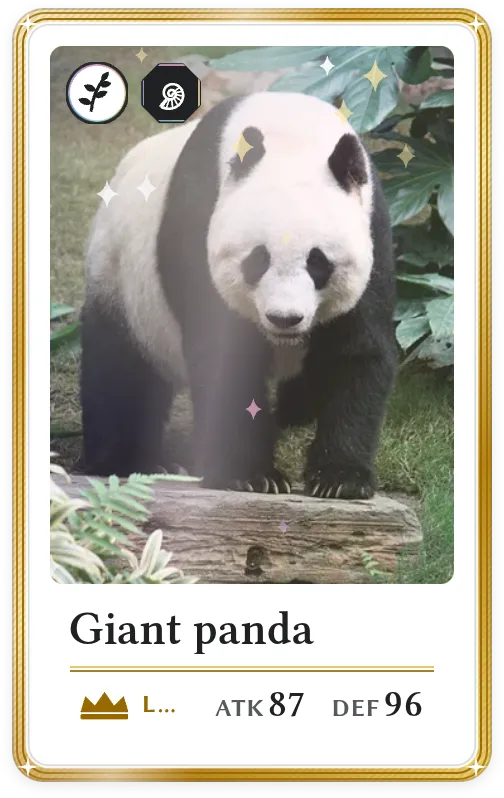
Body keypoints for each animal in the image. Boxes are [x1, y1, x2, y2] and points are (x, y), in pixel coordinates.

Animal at [81, 91, 396, 499]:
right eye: (258, 260)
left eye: (318, 263)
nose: (284, 318)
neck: (293, 136)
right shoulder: (198, 217)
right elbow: (225, 357)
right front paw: (250, 475)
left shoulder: (374, 230)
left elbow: (356, 351)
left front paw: (340, 479)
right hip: (122, 278)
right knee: (119, 371)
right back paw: (131, 461)